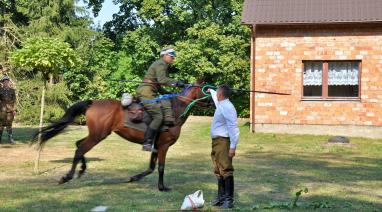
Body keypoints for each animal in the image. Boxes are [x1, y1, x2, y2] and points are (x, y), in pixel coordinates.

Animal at [33, 80, 210, 191]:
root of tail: (93, 102)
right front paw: (162, 187)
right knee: (80, 149)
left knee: (78, 145)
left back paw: (82, 169)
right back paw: (67, 176)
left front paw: (134, 178)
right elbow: (160, 167)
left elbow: (151, 168)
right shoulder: (164, 146)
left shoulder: (156, 146)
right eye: (207, 89)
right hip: (98, 135)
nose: (215, 101)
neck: (175, 109)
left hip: (96, 134)